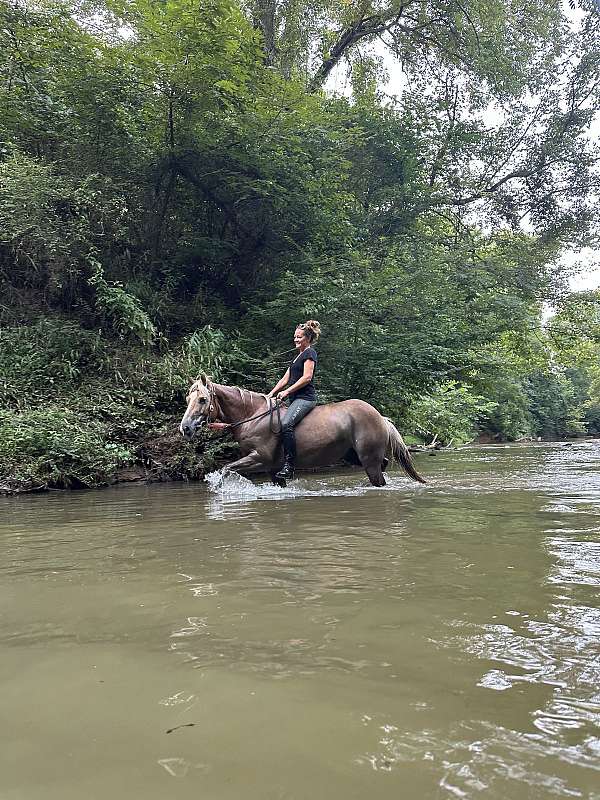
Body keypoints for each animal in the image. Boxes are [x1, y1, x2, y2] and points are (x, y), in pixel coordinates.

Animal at [179, 376, 426, 488]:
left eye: (203, 399)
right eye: (188, 398)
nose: (185, 428)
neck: (252, 417)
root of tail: (380, 416)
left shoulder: (259, 459)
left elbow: (225, 468)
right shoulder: (272, 469)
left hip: (368, 459)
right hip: (354, 456)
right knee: (382, 465)